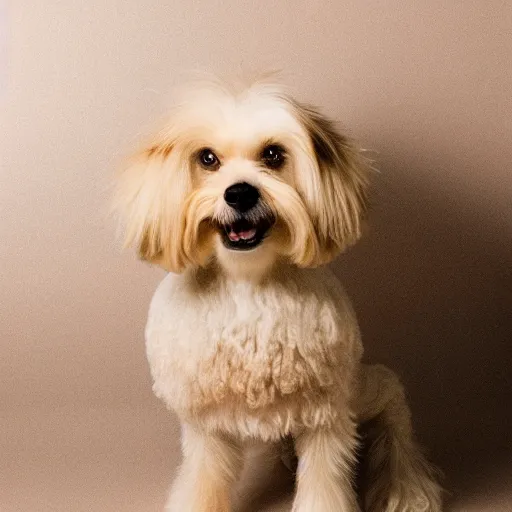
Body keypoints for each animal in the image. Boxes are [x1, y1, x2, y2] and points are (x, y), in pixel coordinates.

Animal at [114, 77, 442, 512]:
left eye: (273, 154)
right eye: (207, 158)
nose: (239, 193)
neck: (247, 282)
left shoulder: (326, 414)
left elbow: (324, 484)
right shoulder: (206, 423)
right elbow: (202, 479)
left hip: (364, 389)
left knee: (395, 420)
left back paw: (405, 487)